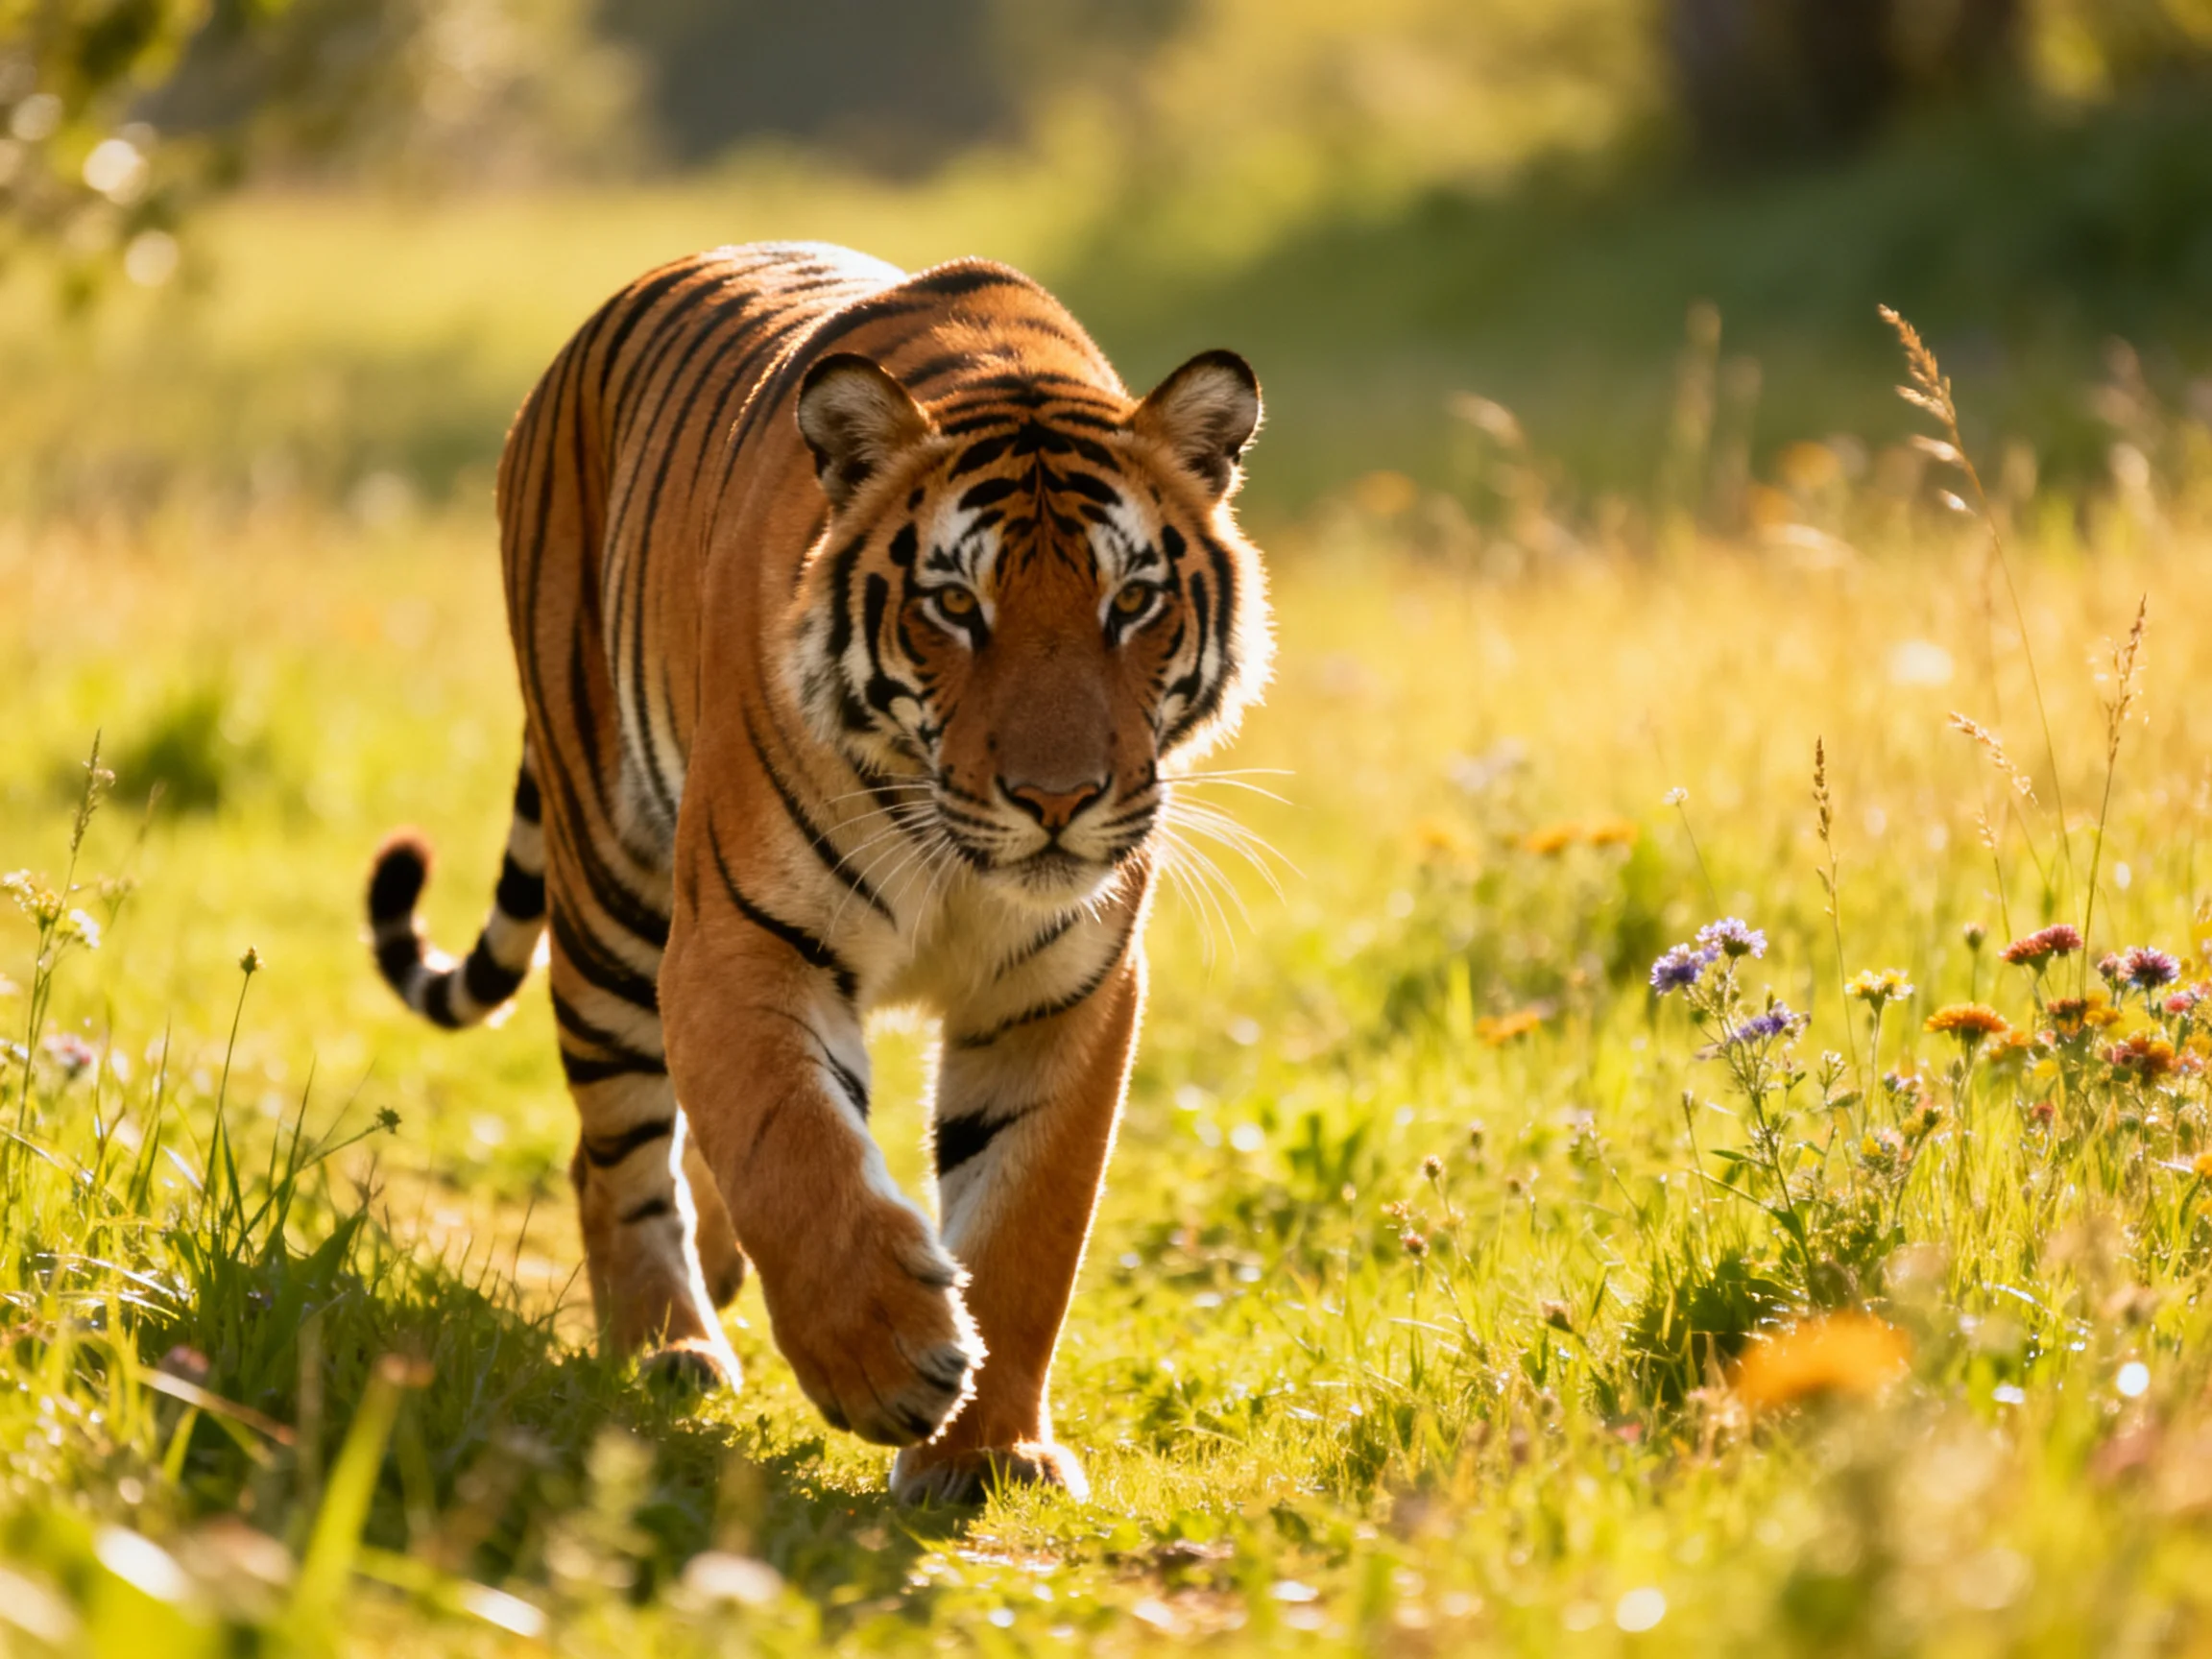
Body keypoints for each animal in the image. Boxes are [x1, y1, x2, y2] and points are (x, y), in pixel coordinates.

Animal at [364, 241, 1271, 1504]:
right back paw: (669, 1346)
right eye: (955, 605)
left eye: (1130, 601)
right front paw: (886, 1358)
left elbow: (1028, 1222)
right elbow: (790, 1141)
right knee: (612, 1153)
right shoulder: (739, 941)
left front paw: (987, 1452)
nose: (1056, 802)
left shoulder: (1064, 992)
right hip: (611, 888)